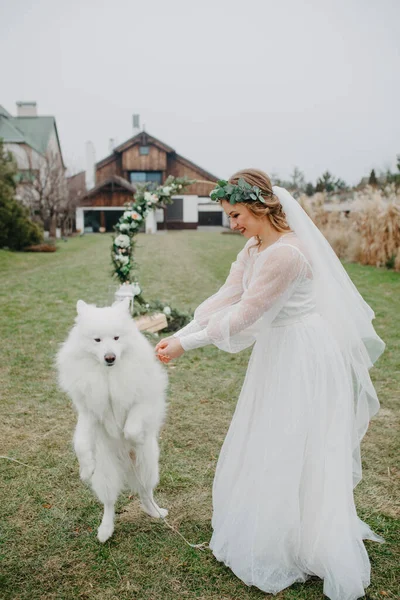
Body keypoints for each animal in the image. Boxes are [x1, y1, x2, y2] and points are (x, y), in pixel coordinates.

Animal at [55, 300, 167, 544]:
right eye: (97, 340)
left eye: (116, 338)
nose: (110, 357)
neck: (108, 375)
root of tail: (126, 464)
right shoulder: (89, 413)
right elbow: (81, 444)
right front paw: (85, 469)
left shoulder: (142, 401)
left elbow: (132, 427)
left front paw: (135, 436)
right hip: (106, 474)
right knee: (109, 503)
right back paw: (105, 530)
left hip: (147, 466)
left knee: (146, 493)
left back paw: (156, 512)